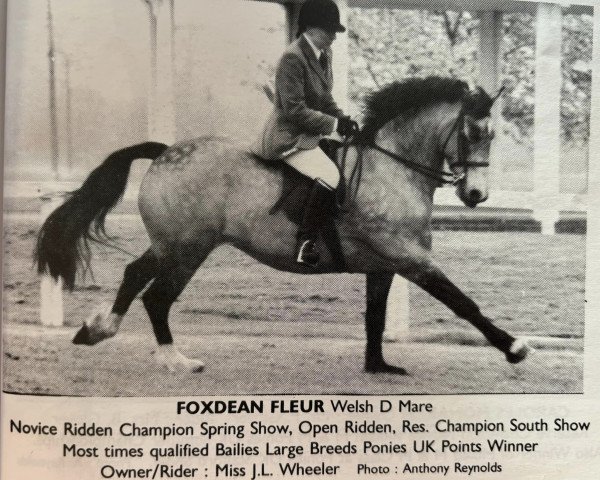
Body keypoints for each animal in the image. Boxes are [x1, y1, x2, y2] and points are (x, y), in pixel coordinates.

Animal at [35, 77, 532, 374]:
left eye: (492, 135)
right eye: (473, 132)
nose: (477, 196)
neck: (393, 169)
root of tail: (165, 151)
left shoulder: (384, 264)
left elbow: (374, 315)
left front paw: (377, 366)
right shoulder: (410, 259)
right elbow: (463, 303)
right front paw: (514, 347)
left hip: (170, 244)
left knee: (135, 273)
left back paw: (98, 329)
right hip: (189, 248)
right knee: (157, 296)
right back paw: (176, 360)